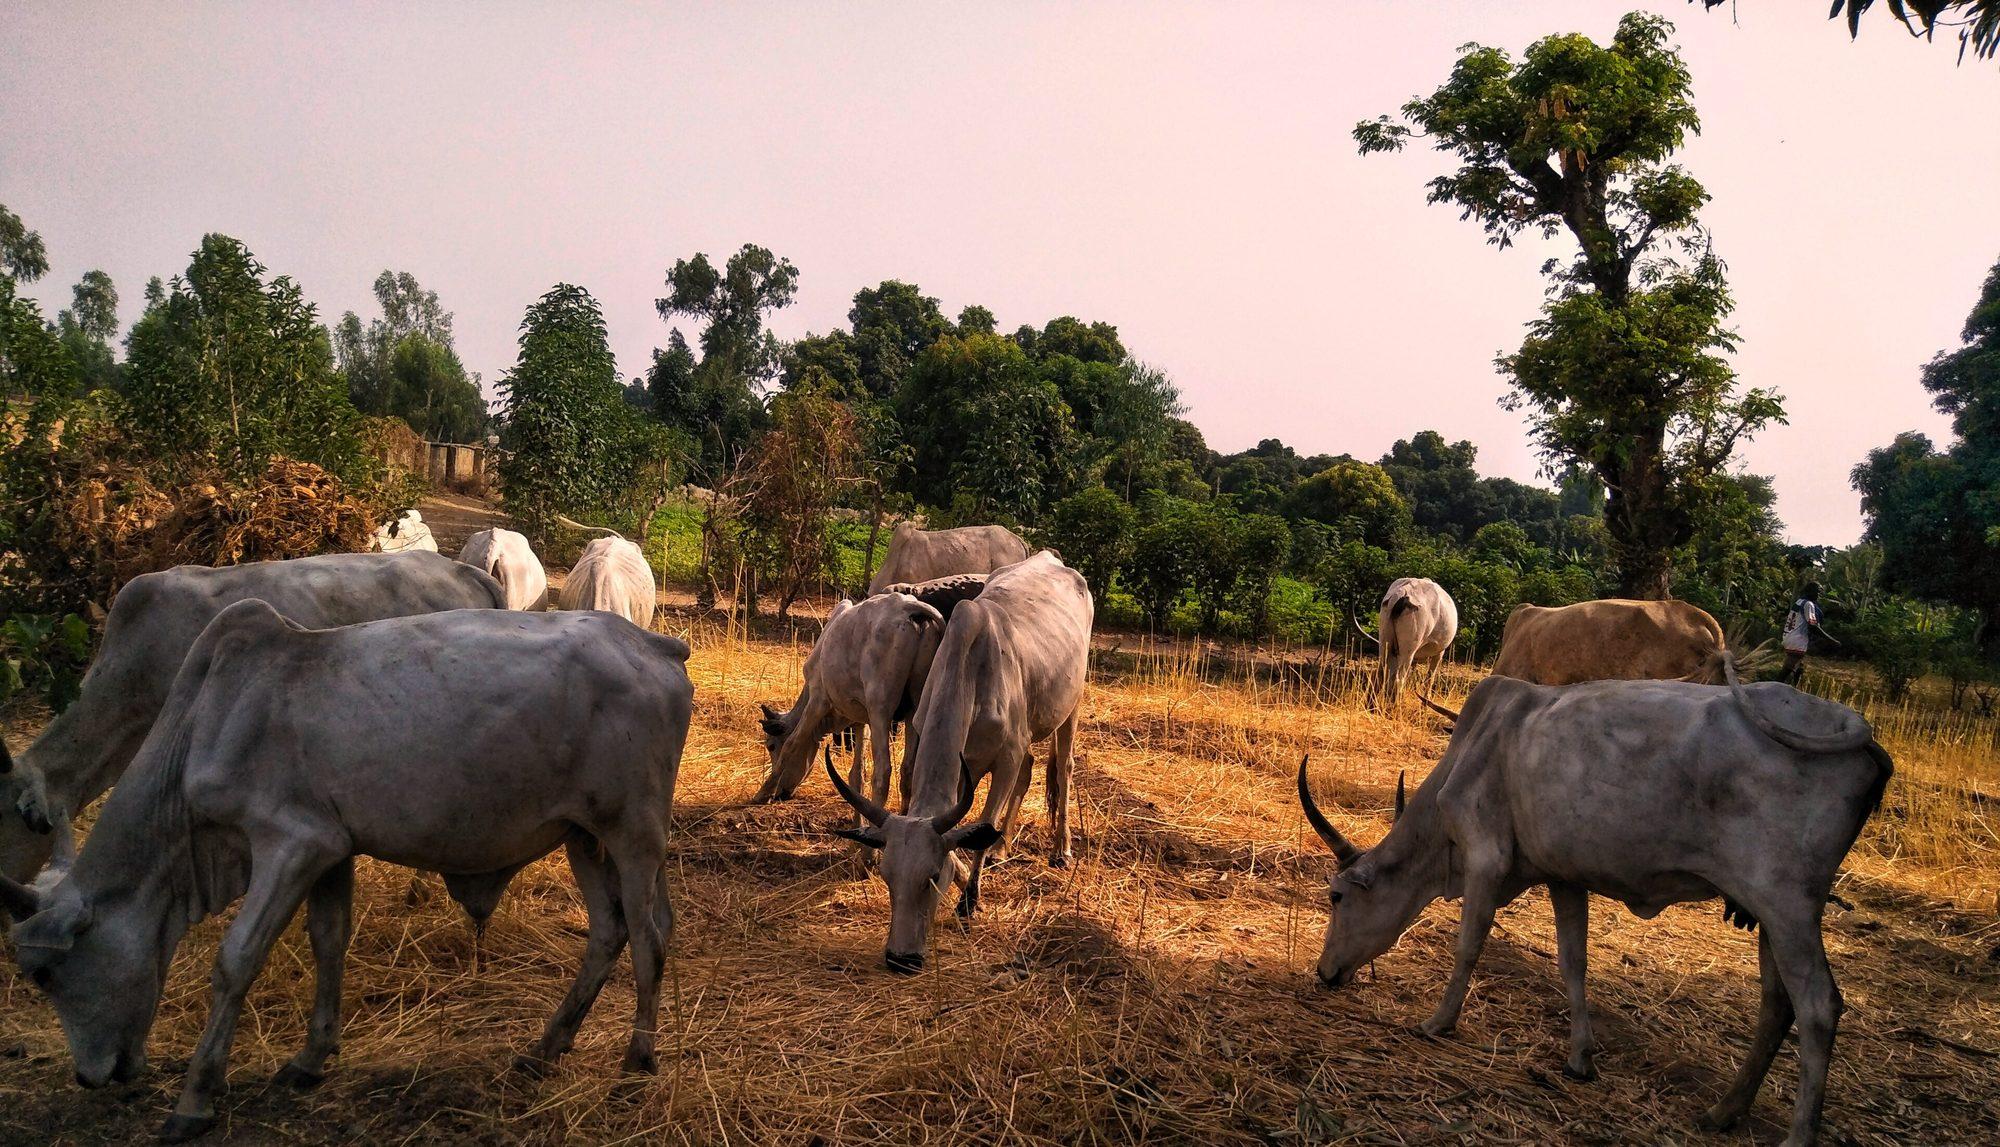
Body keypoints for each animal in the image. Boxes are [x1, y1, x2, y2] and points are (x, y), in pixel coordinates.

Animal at [0, 602, 694, 1142]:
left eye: (44, 973)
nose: (88, 1076)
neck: (205, 725)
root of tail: (656, 645)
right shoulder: (331, 849)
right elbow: (328, 941)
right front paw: (311, 1057)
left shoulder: (290, 844)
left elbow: (236, 960)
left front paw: (194, 1099)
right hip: (584, 836)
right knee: (609, 929)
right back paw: (547, 1046)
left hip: (633, 834)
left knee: (650, 935)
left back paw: (637, 1056)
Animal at [752, 575, 988, 807]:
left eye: (771, 746)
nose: (782, 794)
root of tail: (908, 608)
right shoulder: (858, 720)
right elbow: (857, 774)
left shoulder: (818, 700)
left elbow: (792, 744)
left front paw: (763, 792)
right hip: (915, 707)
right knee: (907, 770)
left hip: (880, 709)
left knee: (883, 772)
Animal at [828, 551, 1092, 974]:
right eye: (887, 875)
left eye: (934, 875)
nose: (901, 960)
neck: (972, 674)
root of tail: (1050, 557)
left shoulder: (1006, 758)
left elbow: (984, 823)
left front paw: (969, 903)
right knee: (1030, 770)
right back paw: (1003, 849)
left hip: (1073, 702)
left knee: (1063, 769)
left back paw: (1061, 850)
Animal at [1296, 665, 1890, 1147]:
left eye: (1336, 896)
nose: (1326, 972)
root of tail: (1860, 734)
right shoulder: (1565, 877)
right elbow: (1573, 964)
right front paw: (1580, 1058)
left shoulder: (1486, 858)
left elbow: (1468, 945)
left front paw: (1438, 1022)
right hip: (1768, 913)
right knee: (1777, 1004)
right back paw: (1723, 1111)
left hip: (1787, 907)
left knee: (1818, 1006)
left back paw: (1796, 1133)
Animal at [1355, 577, 1457, 707]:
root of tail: (1404, 593)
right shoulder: (1439, 652)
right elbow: (1430, 678)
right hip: (1408, 651)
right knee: (1399, 680)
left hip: (1384, 642)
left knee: (1379, 675)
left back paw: (1371, 707)